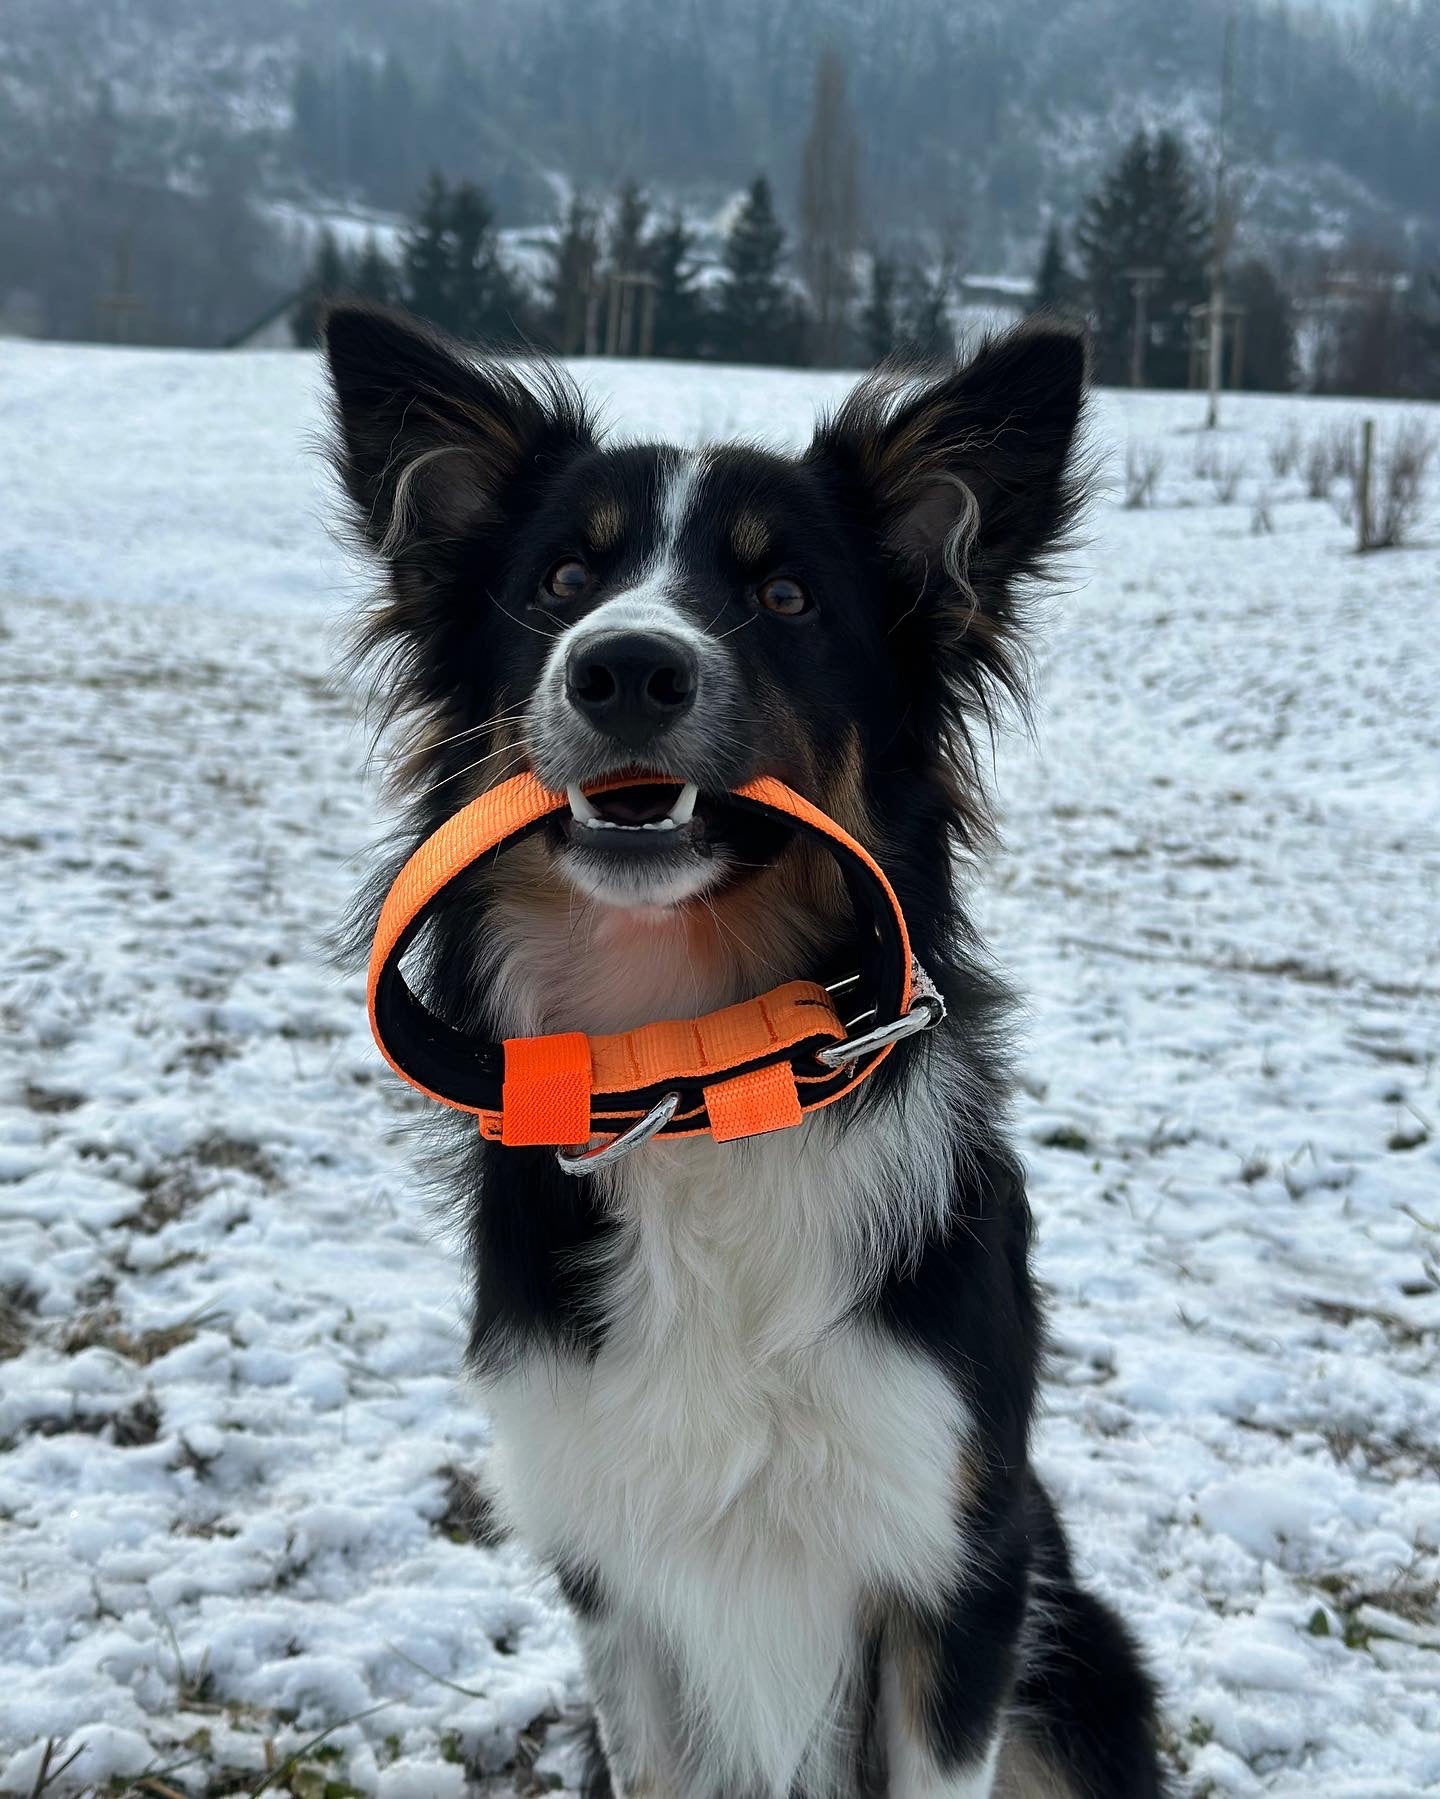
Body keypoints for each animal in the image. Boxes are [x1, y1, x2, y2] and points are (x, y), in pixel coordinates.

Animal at [320, 302, 1166, 1791]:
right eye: (561, 579)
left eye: (786, 599)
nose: (624, 667)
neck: (698, 1068)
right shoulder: (617, 1578)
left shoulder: (959, 1565)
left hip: (1081, 1657)